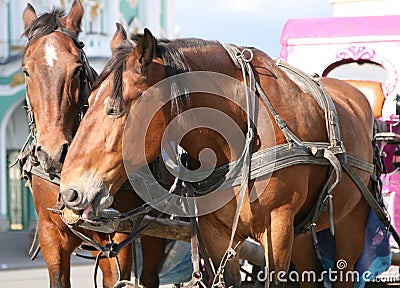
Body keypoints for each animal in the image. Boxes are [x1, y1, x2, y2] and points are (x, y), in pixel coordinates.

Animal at [59, 25, 376, 286]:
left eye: (113, 108)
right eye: (87, 102)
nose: (70, 192)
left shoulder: (278, 226)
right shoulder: (216, 233)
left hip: (350, 221)